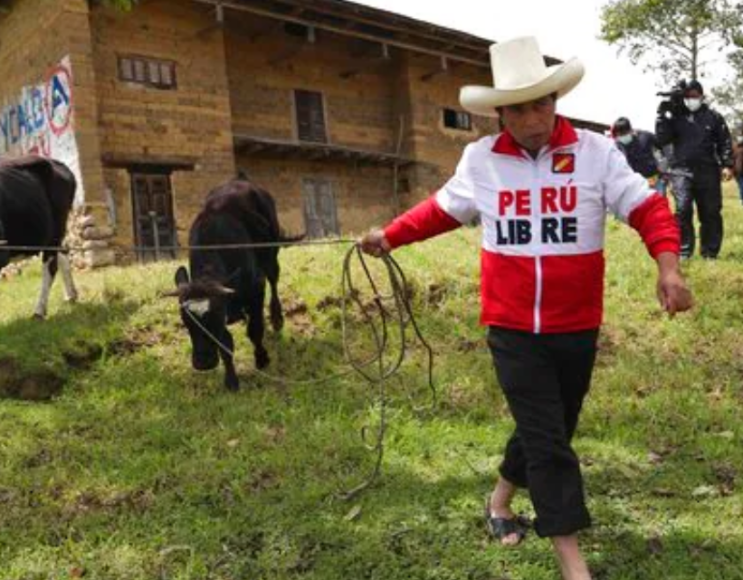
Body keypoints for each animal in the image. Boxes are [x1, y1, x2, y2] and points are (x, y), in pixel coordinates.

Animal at [0, 154, 78, 318]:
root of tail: (55, 162)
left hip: (55, 232)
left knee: (50, 267)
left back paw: (39, 311)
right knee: (63, 253)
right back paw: (71, 295)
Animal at [170, 179, 298, 392]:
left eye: (214, 318)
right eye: (186, 322)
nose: (203, 363)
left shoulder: (256, 289)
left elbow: (255, 329)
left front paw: (262, 359)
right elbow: (225, 345)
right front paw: (231, 380)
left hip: (271, 252)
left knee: (274, 280)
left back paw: (277, 317)